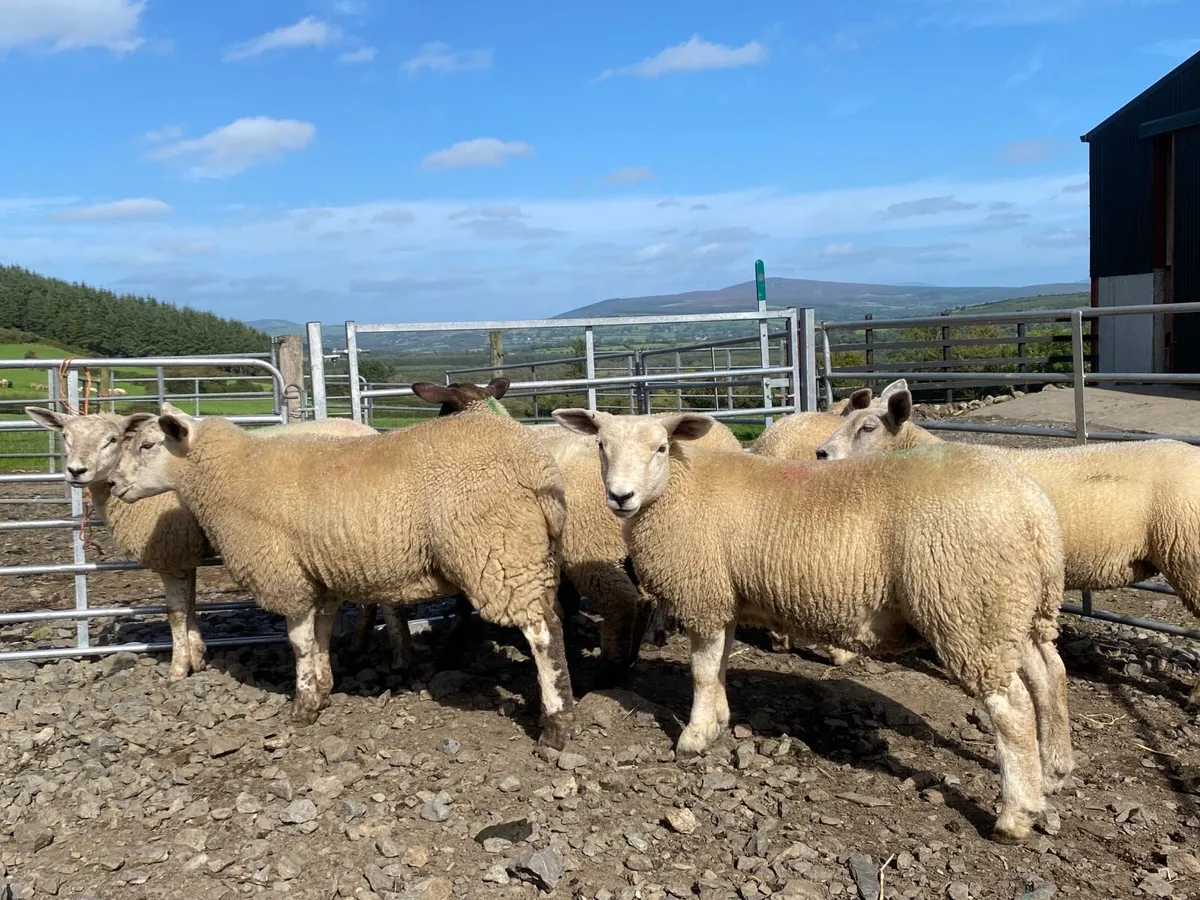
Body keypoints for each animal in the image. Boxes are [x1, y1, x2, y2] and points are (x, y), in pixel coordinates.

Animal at [23, 403, 398, 681]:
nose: (76, 471)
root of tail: (367, 431)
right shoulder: (184, 556)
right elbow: (188, 607)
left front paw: (179, 668)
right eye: (65, 436)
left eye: (112, 439)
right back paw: (360, 643)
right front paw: (198, 657)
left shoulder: (172, 553)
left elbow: (175, 612)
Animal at [108, 407, 577, 748]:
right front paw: (323, 688)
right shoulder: (321, 577)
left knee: (542, 632)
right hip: (529, 553)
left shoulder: (285, 575)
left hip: (497, 551)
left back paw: (557, 725)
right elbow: (320, 636)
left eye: (148, 444)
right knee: (553, 616)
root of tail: (536, 464)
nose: (112, 483)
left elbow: (298, 643)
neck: (230, 475)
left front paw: (301, 707)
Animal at [552, 407, 1073, 842]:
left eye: (660, 447)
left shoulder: (703, 592)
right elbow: (717, 666)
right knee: (1049, 675)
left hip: (968, 607)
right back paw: (1054, 770)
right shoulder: (726, 596)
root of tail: (1034, 508)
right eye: (601, 445)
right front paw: (718, 722)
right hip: (1013, 607)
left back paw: (1015, 815)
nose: (620, 496)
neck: (678, 489)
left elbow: (700, 672)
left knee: (1012, 709)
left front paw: (694, 737)